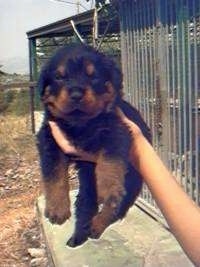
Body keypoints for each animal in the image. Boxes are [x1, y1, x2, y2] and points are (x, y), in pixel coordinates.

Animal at [36, 43, 151, 247]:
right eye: (59, 77)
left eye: (93, 76)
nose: (76, 94)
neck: (81, 124)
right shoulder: (49, 139)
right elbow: (54, 174)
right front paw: (57, 209)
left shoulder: (117, 130)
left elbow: (109, 162)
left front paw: (107, 188)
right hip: (87, 186)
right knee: (86, 206)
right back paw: (80, 235)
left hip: (131, 181)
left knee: (115, 206)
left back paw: (96, 225)